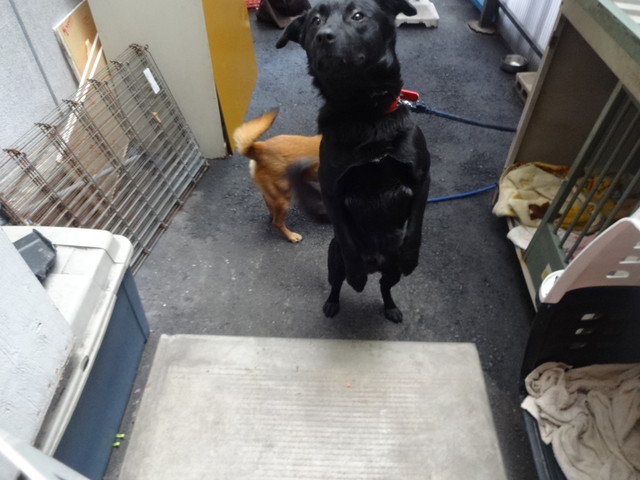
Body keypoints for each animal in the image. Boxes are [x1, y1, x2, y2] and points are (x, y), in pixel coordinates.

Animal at [233, 108, 324, 242]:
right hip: (284, 198)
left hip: (273, 193)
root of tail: (260, 148)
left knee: (271, 210)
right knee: (277, 222)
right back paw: (291, 236)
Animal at [276, 0, 431, 322]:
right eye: (315, 21)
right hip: (333, 260)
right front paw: (357, 275)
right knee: (337, 283)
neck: (364, 113)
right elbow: (347, 241)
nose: (323, 36)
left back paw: (391, 307)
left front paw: (412, 257)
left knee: (385, 287)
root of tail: (377, 263)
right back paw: (336, 300)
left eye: (358, 15)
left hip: (392, 271)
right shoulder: (331, 191)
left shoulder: (422, 177)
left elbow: (416, 225)